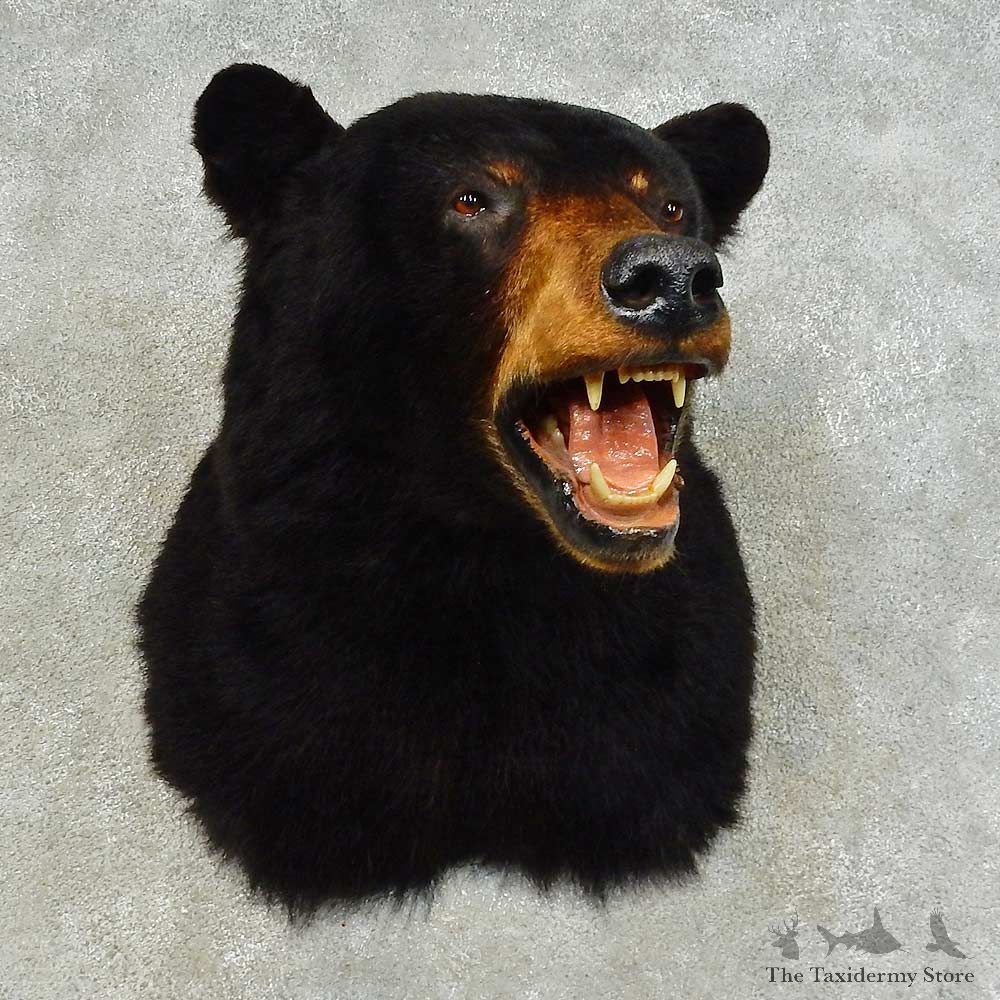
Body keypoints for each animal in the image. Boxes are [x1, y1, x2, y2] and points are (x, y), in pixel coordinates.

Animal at [137, 63, 770, 916]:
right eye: (472, 199)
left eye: (672, 204)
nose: (671, 276)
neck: (480, 552)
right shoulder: (261, 628)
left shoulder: (668, 667)